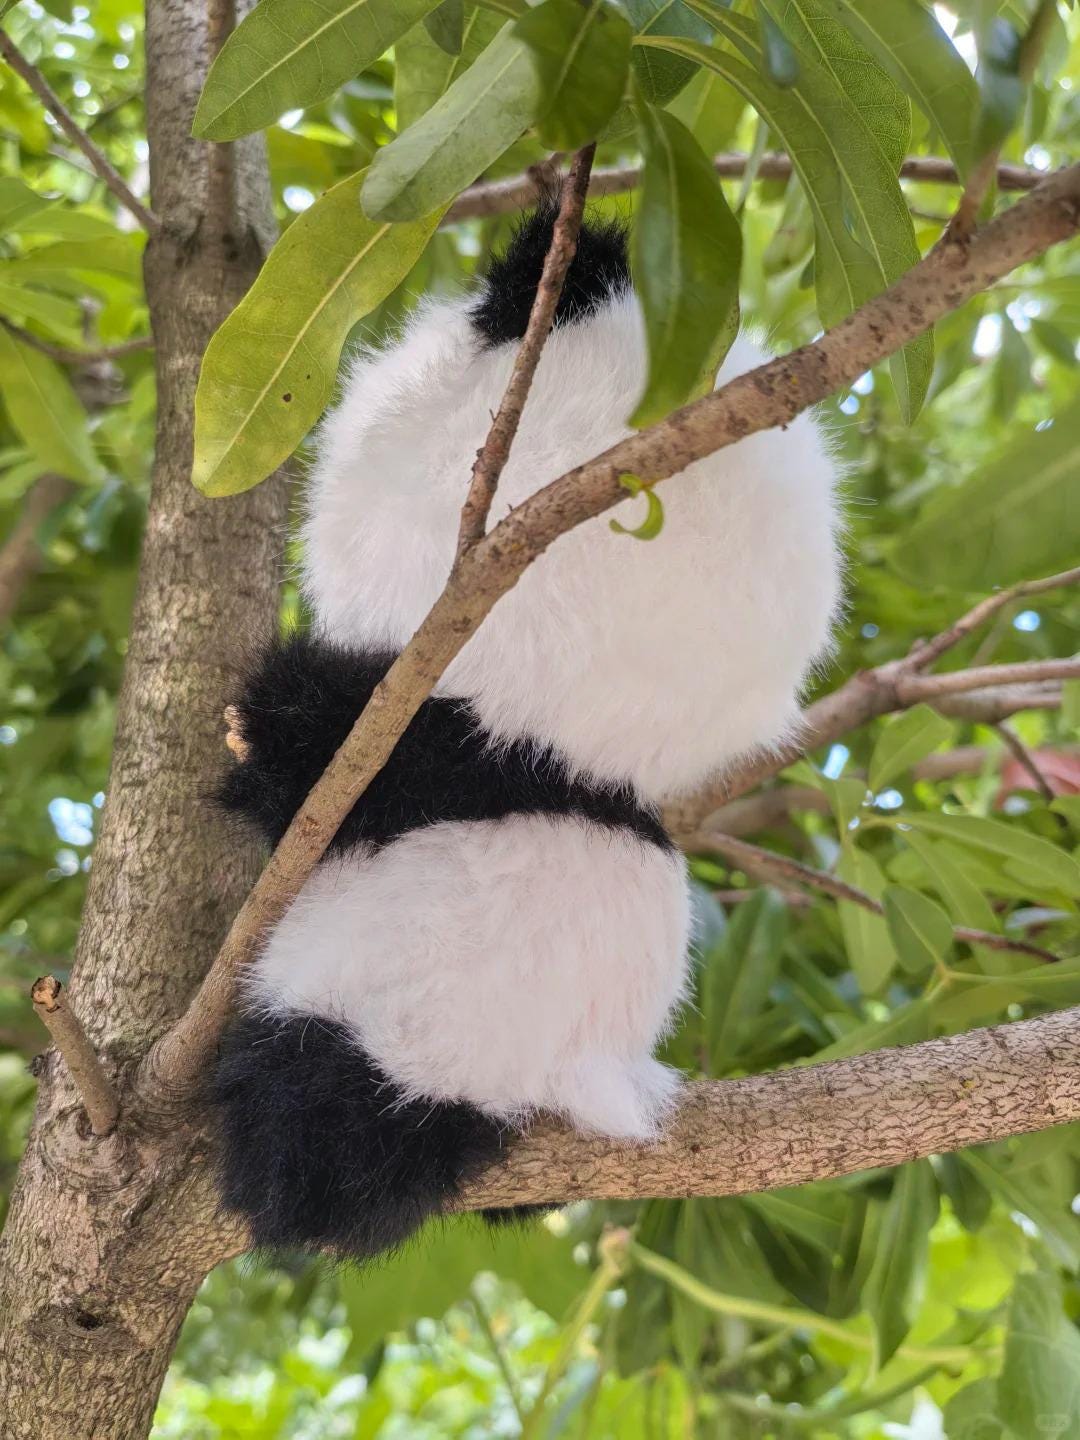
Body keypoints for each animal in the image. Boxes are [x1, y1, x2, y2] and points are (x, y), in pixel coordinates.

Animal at [212, 199, 842, 1261]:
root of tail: (579, 1084)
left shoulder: (414, 737)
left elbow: (312, 754)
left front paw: (262, 729)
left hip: (413, 1028)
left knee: (333, 1121)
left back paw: (295, 1149)